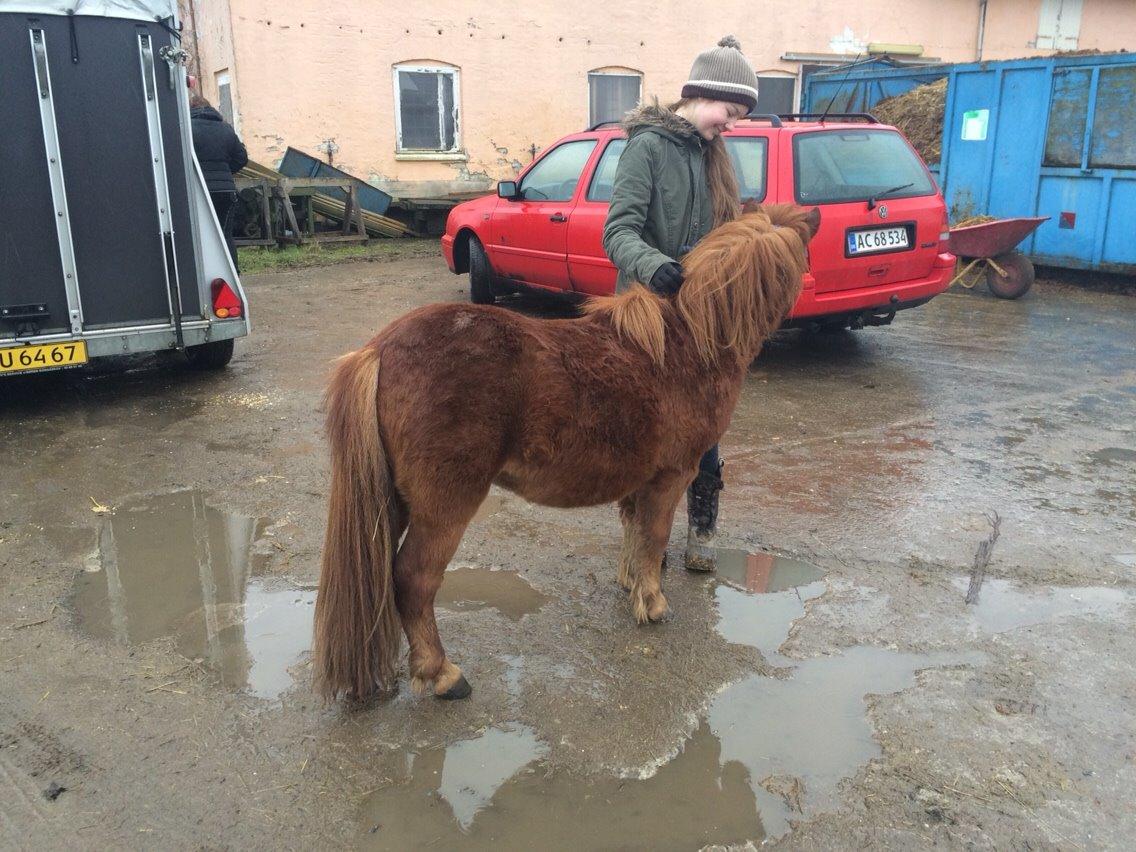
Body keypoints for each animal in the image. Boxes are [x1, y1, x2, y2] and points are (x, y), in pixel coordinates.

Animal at [315, 205, 822, 699]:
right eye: (802, 260)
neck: (690, 342)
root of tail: (380, 349)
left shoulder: (638, 480)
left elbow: (634, 533)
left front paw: (631, 585)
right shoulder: (671, 477)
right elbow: (655, 536)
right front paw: (653, 604)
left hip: (394, 503)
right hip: (444, 508)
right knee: (413, 579)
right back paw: (441, 673)